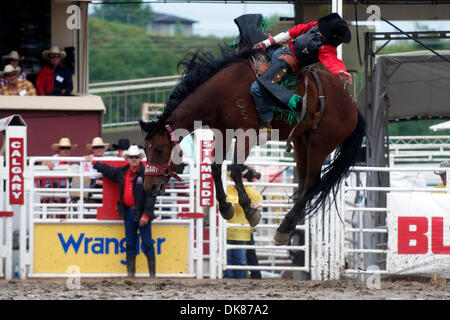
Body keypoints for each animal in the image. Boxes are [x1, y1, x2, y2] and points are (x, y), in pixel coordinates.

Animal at [140, 47, 366, 245]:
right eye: (145, 149)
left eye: (159, 149)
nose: (150, 187)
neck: (221, 92)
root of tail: (353, 105)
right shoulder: (222, 132)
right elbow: (216, 168)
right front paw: (226, 208)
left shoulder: (245, 133)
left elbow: (236, 169)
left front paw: (250, 211)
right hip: (303, 140)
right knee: (304, 183)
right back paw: (288, 227)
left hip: (321, 143)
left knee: (311, 183)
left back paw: (285, 226)